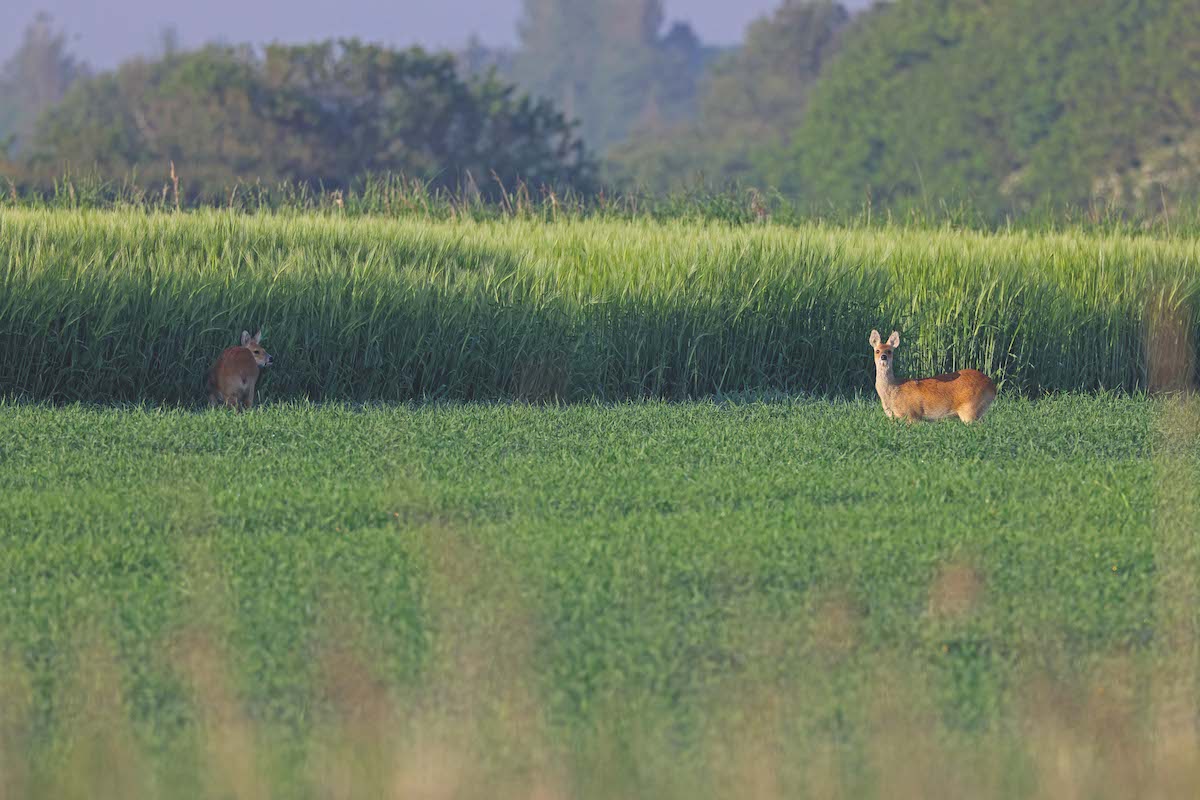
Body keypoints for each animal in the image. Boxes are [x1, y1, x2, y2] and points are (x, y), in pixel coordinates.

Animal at [868, 328, 998, 422]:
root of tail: (993, 386)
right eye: (877, 350)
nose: (883, 356)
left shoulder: (912, 414)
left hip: (970, 409)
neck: (894, 390)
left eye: (889, 351)